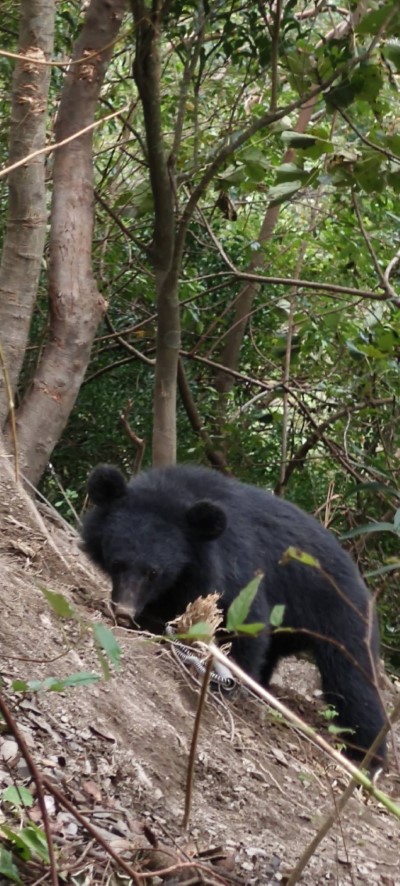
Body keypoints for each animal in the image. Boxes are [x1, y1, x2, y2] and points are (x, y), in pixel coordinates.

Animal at [82, 464, 388, 764]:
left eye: (153, 572)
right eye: (117, 563)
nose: (124, 611)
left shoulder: (233, 567)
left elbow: (245, 624)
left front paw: (227, 684)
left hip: (340, 614)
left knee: (353, 681)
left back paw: (367, 756)